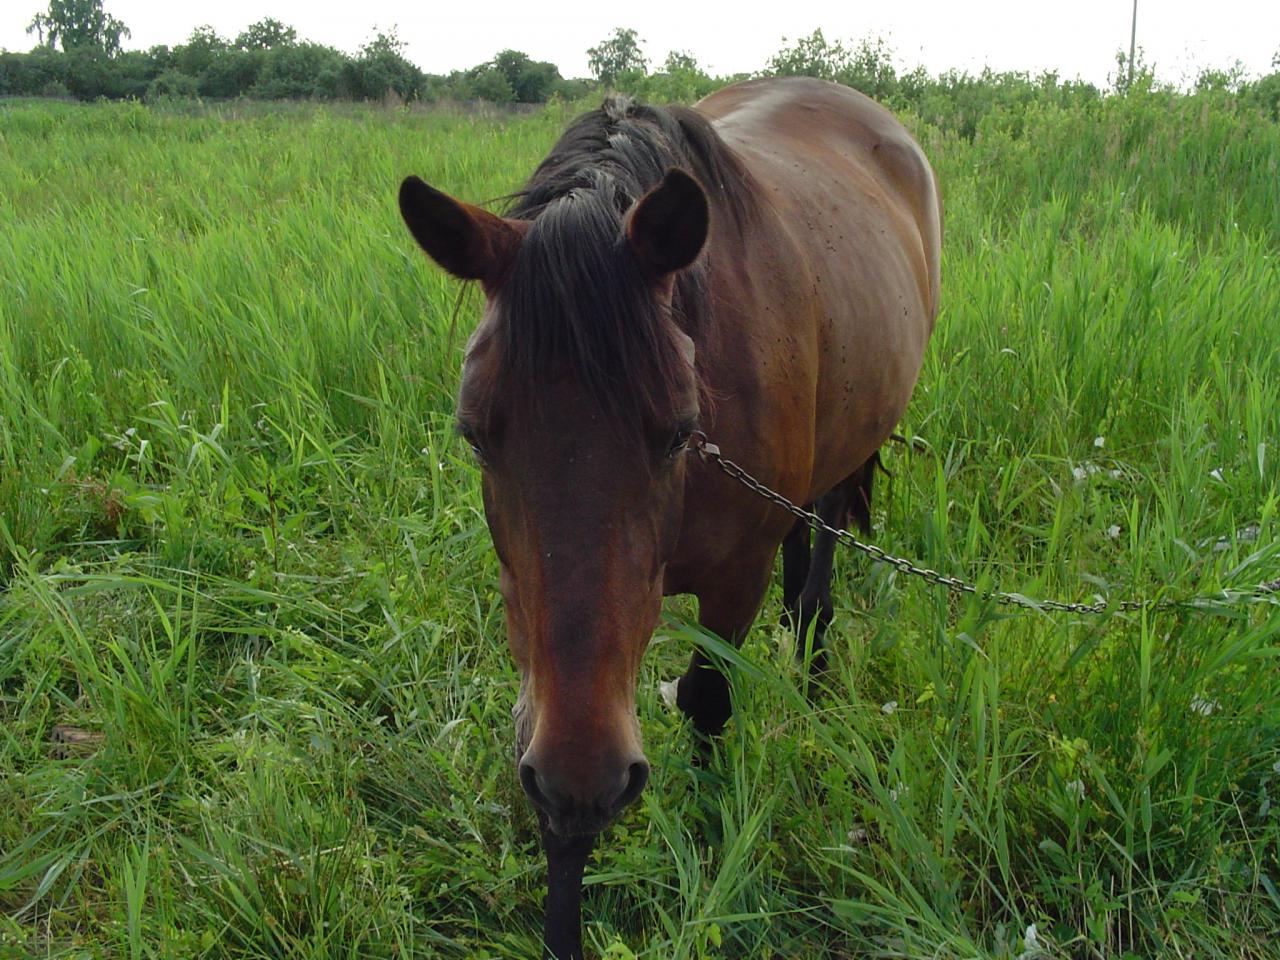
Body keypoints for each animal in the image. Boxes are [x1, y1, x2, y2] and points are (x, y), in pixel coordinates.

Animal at [399, 77, 942, 960]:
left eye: (681, 431)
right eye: (474, 434)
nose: (586, 776)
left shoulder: (733, 582)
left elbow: (708, 699)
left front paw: (712, 846)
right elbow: (559, 809)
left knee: (819, 544)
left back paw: (815, 665)